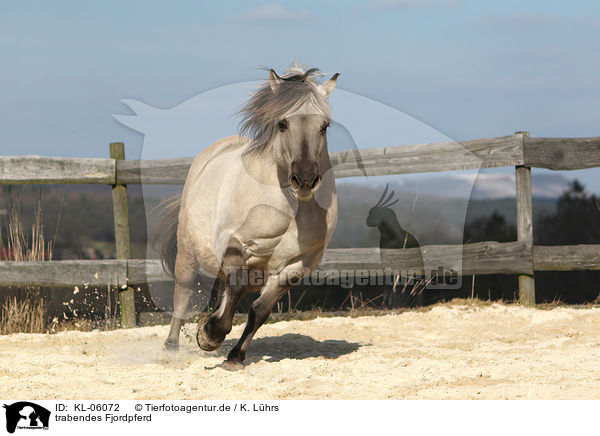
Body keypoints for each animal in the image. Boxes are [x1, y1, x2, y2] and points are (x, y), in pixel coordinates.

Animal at [155, 66, 340, 370]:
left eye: (324, 126)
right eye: (282, 124)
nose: (304, 179)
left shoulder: (299, 263)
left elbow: (260, 309)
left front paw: (233, 356)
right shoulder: (236, 244)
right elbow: (237, 289)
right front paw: (209, 336)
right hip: (189, 252)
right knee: (183, 293)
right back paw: (170, 349)